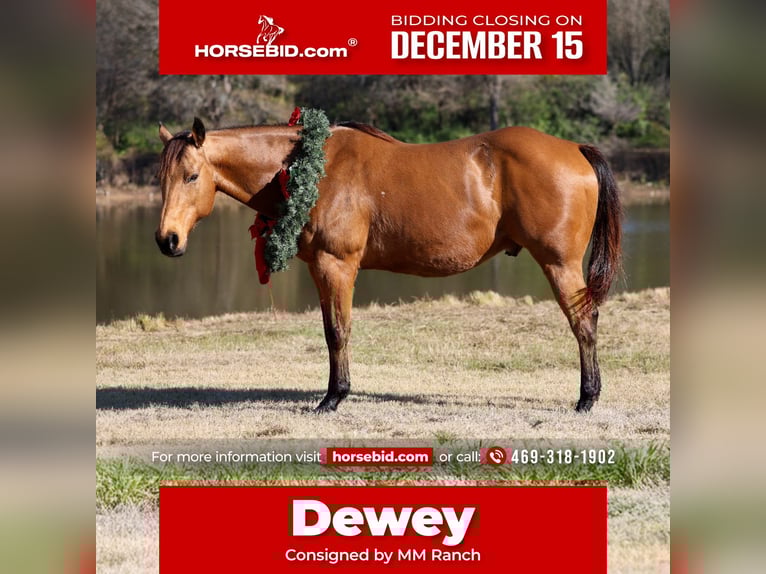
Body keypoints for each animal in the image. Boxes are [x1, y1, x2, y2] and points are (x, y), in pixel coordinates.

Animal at [155, 117, 622, 413]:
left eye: (192, 176)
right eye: (162, 178)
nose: (167, 240)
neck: (312, 168)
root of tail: (574, 149)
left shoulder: (336, 266)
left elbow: (338, 331)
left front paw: (334, 397)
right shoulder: (320, 270)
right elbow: (330, 330)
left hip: (559, 264)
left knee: (584, 322)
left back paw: (587, 397)